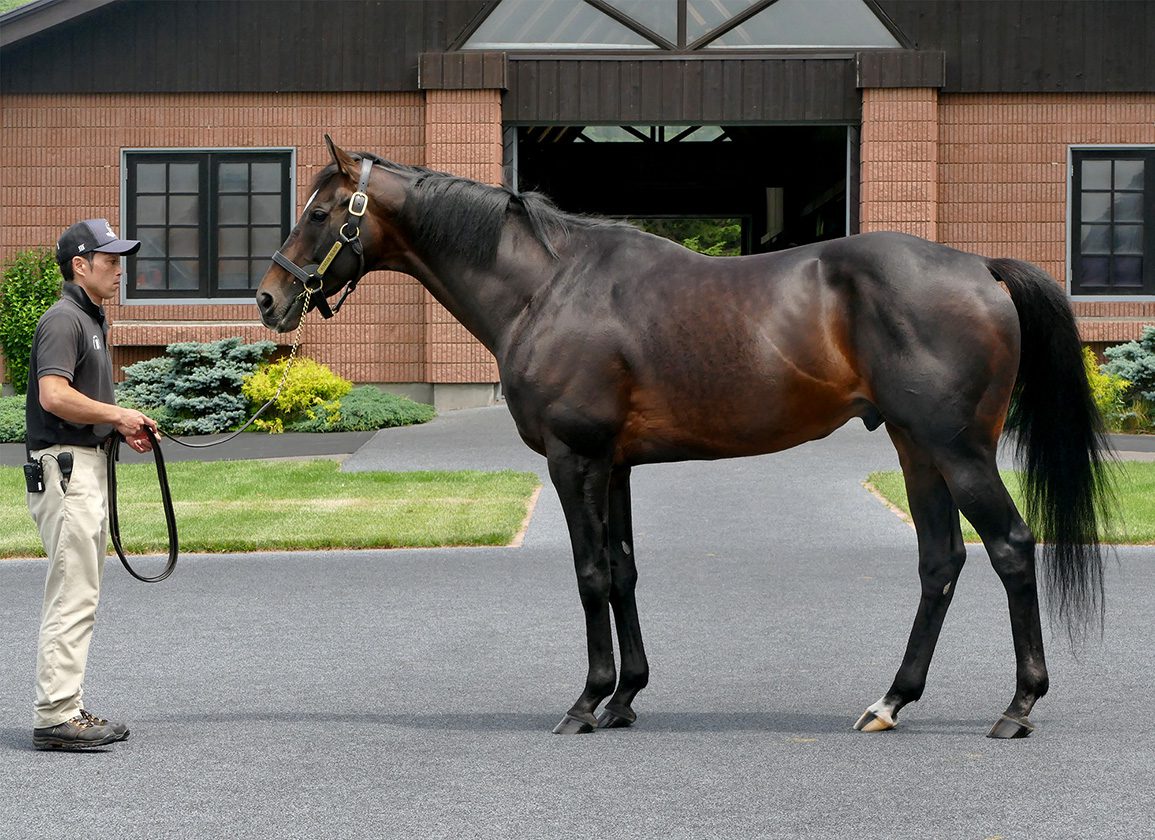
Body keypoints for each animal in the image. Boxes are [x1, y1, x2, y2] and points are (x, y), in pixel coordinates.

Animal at [256, 136, 1115, 739]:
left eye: (320, 214)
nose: (267, 300)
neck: (547, 287)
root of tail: (979, 266)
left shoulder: (574, 458)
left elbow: (590, 575)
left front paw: (585, 702)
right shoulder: (616, 465)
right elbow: (624, 572)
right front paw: (626, 697)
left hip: (956, 450)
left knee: (1010, 547)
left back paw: (1016, 707)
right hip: (914, 450)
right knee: (940, 563)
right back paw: (888, 702)